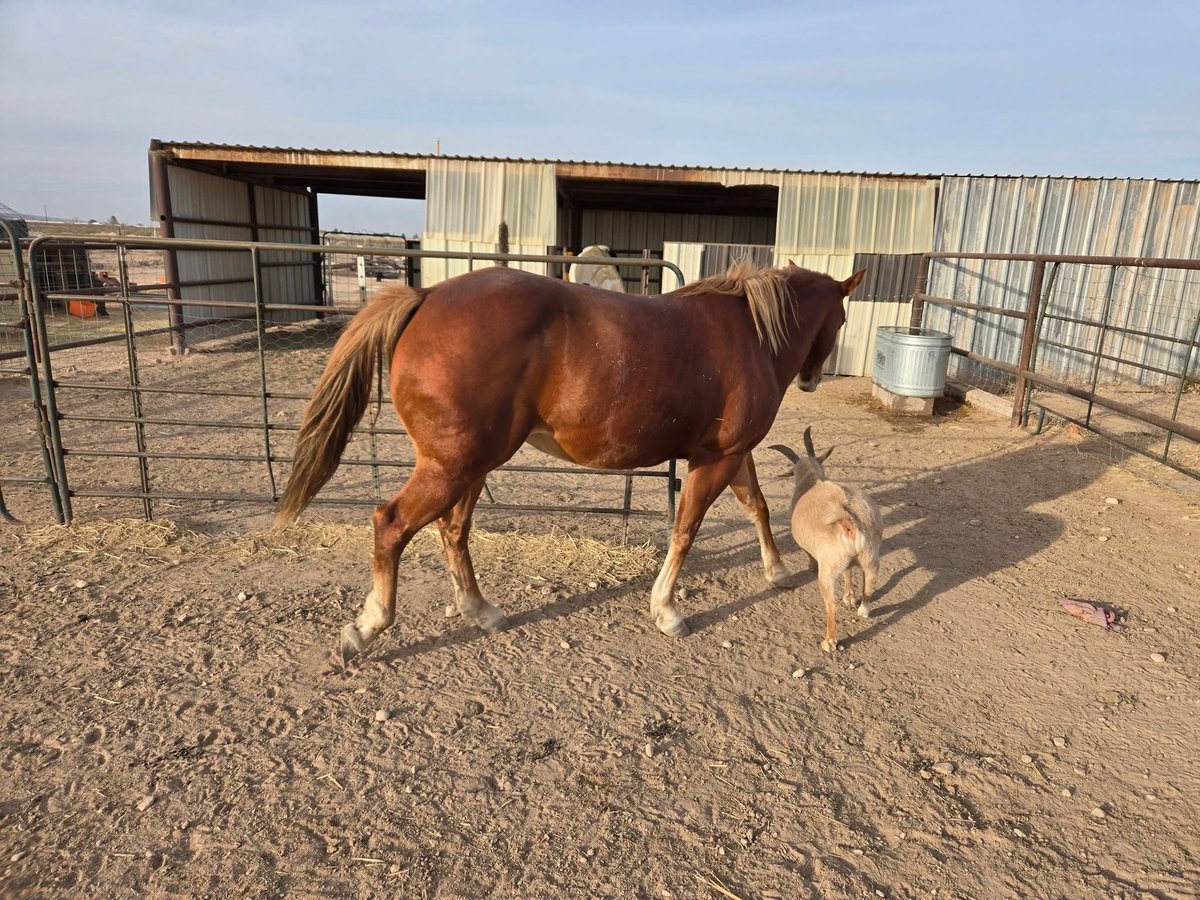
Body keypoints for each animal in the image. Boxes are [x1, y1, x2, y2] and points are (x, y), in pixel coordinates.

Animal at [279, 260, 864, 662]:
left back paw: (481, 610)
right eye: (841, 319)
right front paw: (666, 610)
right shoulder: (715, 459)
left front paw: (777, 570)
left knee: (454, 531)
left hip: (470, 464)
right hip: (451, 466)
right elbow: (686, 530)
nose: (813, 378)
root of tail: (426, 295)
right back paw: (367, 627)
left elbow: (758, 507)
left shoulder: (732, 455)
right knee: (392, 524)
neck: (750, 334)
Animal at [768, 429, 883, 657]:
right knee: (869, 586)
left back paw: (829, 641)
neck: (813, 478)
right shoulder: (846, 563)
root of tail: (849, 522)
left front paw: (810, 566)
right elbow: (848, 572)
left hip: (828, 570)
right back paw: (862, 610)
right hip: (870, 558)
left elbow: (809, 554)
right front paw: (850, 596)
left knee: (831, 604)